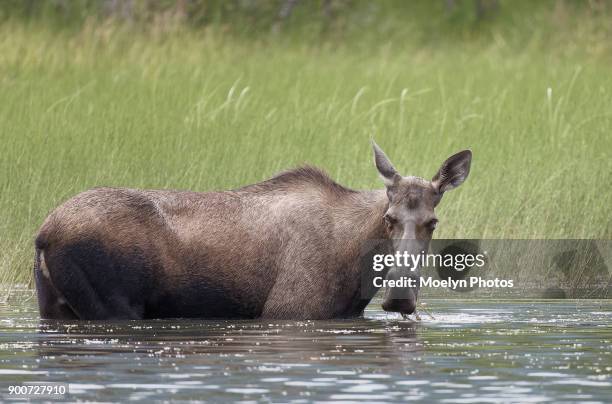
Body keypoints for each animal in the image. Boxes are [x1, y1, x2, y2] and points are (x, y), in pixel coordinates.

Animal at [34, 144, 474, 320]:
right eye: (389, 217)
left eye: (432, 222)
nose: (400, 296)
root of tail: (43, 233)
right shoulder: (288, 312)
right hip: (113, 307)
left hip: (55, 309)